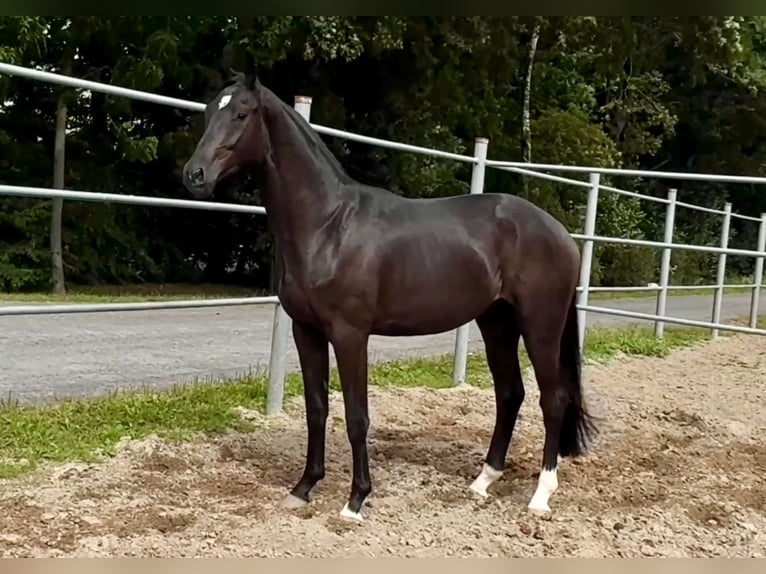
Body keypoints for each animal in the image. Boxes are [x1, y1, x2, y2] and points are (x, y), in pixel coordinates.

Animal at [182, 70, 600, 524]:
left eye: (241, 114)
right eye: (209, 111)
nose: (194, 175)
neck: (328, 225)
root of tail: (561, 234)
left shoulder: (350, 335)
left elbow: (356, 416)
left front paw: (356, 501)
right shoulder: (305, 331)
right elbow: (316, 408)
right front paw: (303, 488)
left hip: (541, 326)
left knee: (552, 399)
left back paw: (541, 495)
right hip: (497, 323)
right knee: (511, 394)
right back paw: (482, 482)